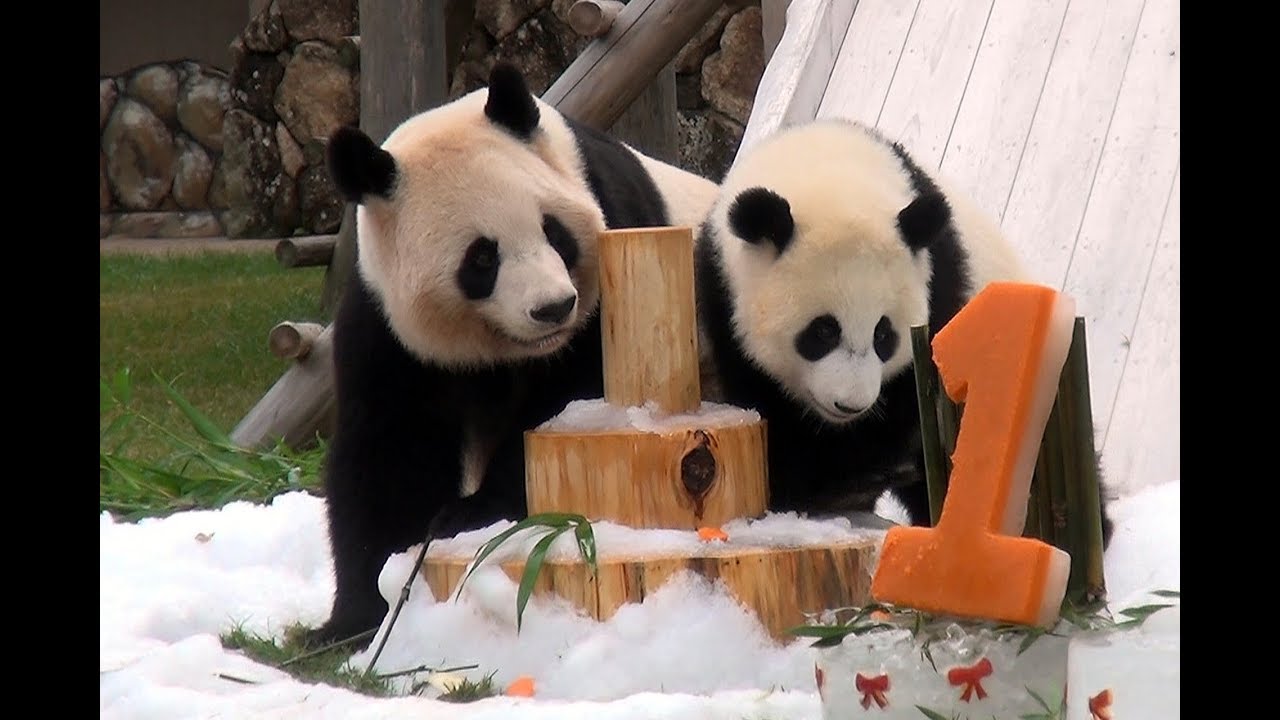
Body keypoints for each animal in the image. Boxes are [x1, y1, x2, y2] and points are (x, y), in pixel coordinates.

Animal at [306, 63, 719, 647]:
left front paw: (466, 514)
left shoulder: (615, 246)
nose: (554, 307)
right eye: (482, 258)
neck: (503, 347)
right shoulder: (388, 323)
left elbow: (562, 410)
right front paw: (352, 619)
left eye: (554, 232)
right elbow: (389, 449)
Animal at [694, 118, 1114, 542]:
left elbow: (912, 403)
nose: (851, 405)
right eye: (823, 331)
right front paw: (808, 483)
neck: (831, 167)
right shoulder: (722, 295)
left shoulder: (940, 287)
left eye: (884, 335)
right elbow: (763, 397)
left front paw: (850, 477)